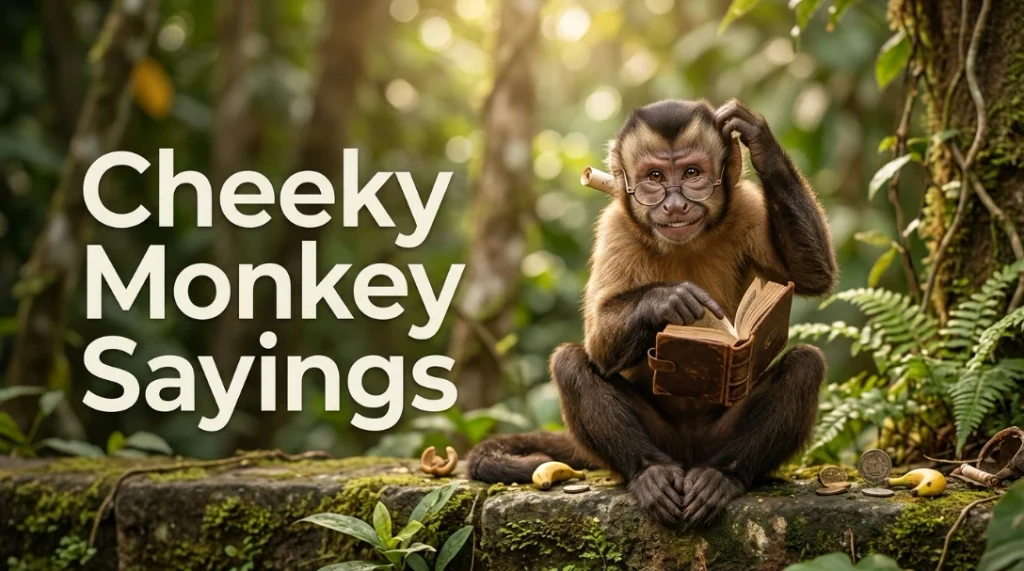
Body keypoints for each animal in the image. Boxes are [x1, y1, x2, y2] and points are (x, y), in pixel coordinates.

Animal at [467, 99, 837, 526]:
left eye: (692, 173)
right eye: (655, 177)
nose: (674, 204)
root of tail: (689, 454)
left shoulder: (743, 206)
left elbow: (812, 275)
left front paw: (760, 142)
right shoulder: (614, 226)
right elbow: (598, 342)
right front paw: (667, 301)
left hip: (716, 438)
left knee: (806, 364)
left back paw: (722, 474)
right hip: (664, 439)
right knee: (569, 362)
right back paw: (650, 472)